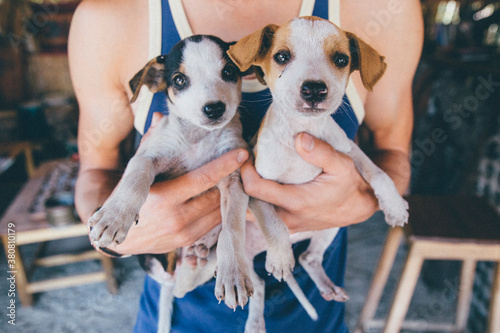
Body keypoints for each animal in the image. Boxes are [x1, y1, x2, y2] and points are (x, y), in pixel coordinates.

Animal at [86, 35, 256, 330]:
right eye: (179, 80)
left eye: (228, 72)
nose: (214, 108)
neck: (199, 137)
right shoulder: (148, 155)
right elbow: (136, 178)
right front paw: (114, 216)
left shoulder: (234, 176)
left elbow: (232, 228)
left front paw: (233, 273)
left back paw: (200, 251)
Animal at [229, 16, 408, 330]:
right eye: (281, 56)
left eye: (341, 59)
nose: (314, 89)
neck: (302, 130)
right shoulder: (255, 184)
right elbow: (274, 222)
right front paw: (280, 256)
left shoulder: (349, 150)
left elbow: (378, 173)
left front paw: (394, 204)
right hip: (249, 262)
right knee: (259, 285)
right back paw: (256, 323)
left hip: (333, 223)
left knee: (309, 258)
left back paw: (326, 286)